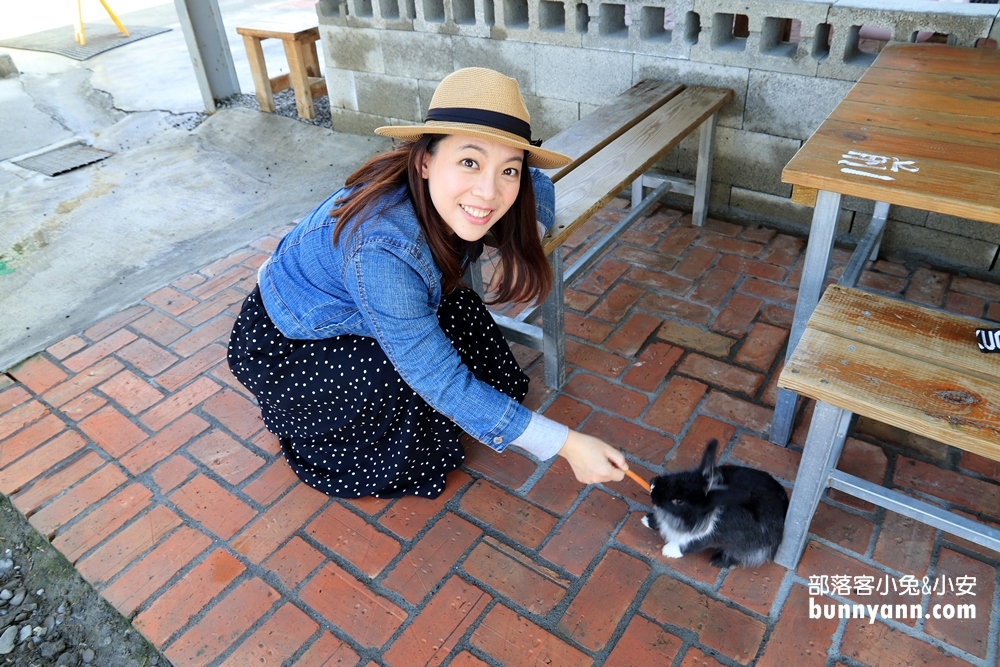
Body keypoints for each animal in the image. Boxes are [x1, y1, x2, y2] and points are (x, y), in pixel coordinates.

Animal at [640, 438, 788, 568]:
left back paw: (717, 561)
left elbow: (686, 545)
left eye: (679, 501)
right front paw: (647, 520)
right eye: (679, 476)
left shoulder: (701, 538)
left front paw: (668, 551)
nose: (652, 485)